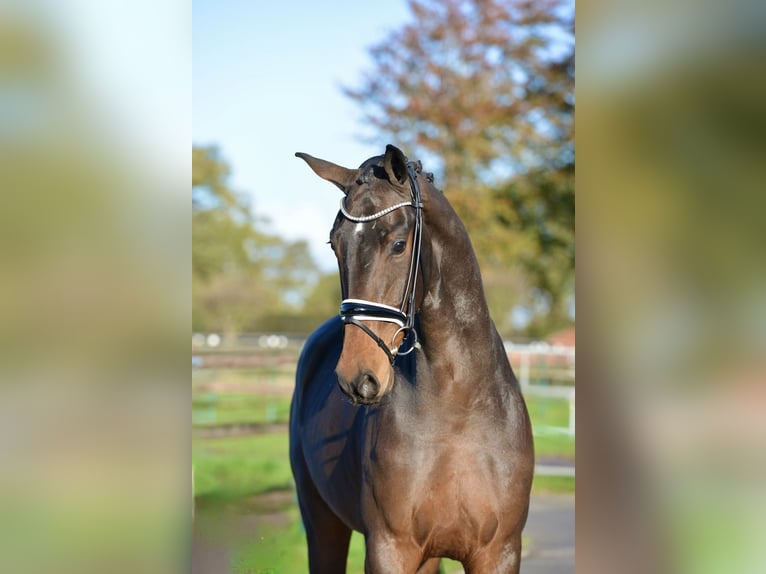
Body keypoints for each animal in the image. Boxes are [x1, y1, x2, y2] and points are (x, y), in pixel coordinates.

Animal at [289, 145, 534, 573]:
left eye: (399, 244)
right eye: (335, 245)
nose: (358, 377)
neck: (458, 410)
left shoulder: (499, 552)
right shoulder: (391, 548)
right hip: (321, 523)